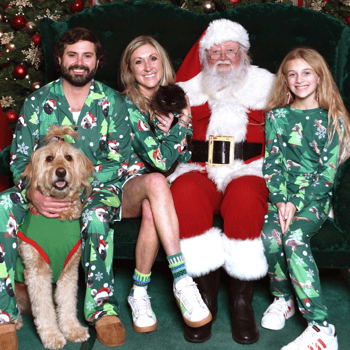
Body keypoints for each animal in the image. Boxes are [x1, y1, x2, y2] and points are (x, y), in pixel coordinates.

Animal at [16, 124, 94, 348]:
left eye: (68, 158)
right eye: (49, 159)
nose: (60, 172)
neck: (58, 218)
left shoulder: (69, 271)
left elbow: (67, 303)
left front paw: (73, 330)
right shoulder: (37, 273)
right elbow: (45, 310)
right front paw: (52, 336)